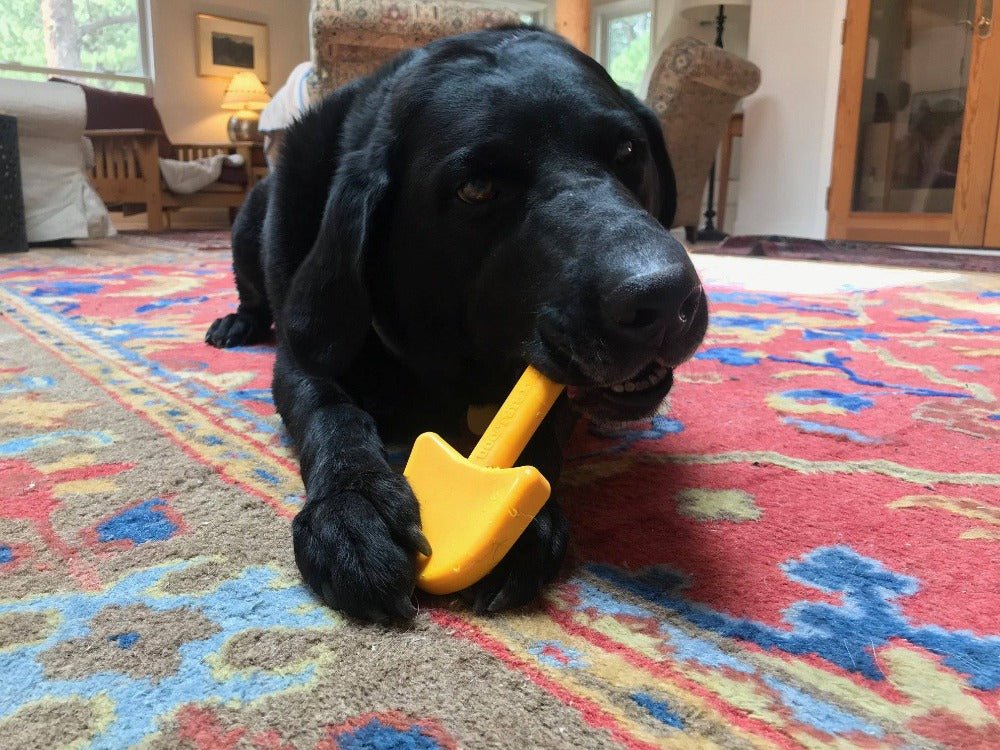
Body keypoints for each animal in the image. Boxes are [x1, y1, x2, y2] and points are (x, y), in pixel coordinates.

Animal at [203, 26, 708, 624]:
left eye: (629, 152)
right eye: (476, 189)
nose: (664, 298)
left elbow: (536, 429)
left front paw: (519, 520)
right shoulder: (301, 358)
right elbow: (331, 414)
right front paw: (353, 505)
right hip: (248, 224)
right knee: (252, 295)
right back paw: (235, 324)